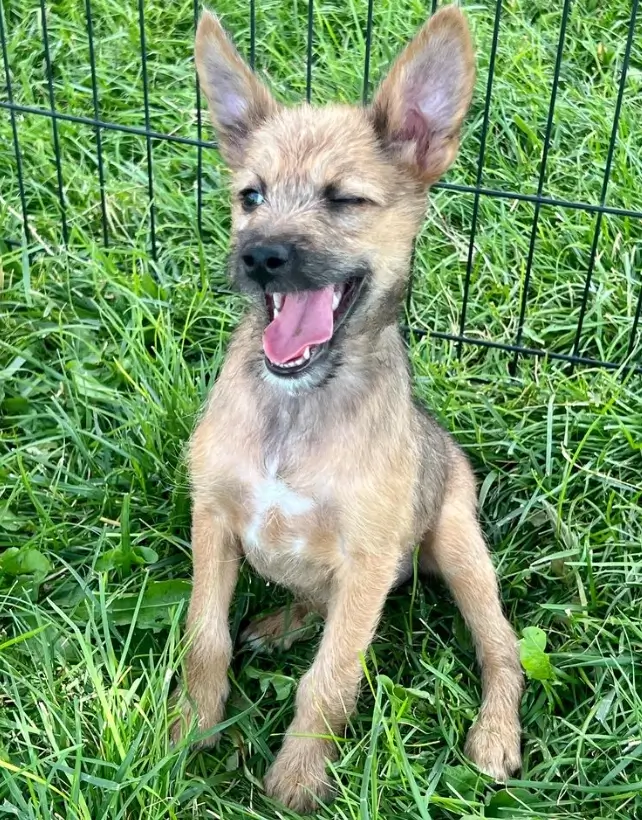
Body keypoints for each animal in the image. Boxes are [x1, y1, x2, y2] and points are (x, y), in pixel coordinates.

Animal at [172, 8, 524, 812]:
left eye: (344, 199)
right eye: (251, 196)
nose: (260, 257)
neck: (297, 408)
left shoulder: (366, 557)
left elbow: (329, 680)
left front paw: (299, 778)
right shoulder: (213, 517)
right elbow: (206, 638)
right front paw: (184, 733)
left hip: (459, 545)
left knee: (504, 648)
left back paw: (495, 735)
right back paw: (282, 621)